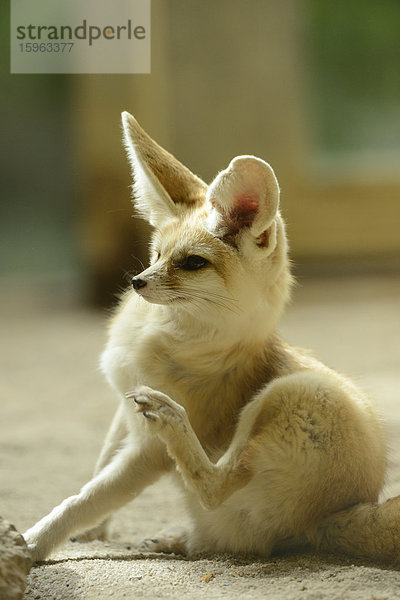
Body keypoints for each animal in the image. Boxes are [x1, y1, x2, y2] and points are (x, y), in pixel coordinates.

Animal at [25, 111, 400, 564]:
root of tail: (337, 515)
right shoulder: (124, 403)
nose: (137, 282)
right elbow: (97, 470)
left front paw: (31, 543)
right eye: (157, 255)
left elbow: (81, 500)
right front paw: (93, 533)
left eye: (192, 263)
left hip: (292, 392)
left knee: (214, 487)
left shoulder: (147, 452)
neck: (162, 336)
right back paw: (176, 538)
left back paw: (173, 422)